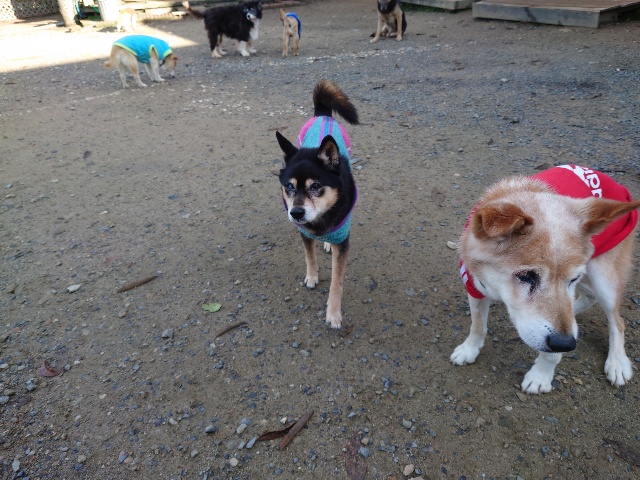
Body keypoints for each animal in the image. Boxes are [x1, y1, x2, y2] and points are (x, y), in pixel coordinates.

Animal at [276, 80, 359, 329]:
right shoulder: (304, 233)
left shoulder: (343, 242)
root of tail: (323, 115)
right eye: (289, 186)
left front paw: (333, 314)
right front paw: (312, 277)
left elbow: (336, 283)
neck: (321, 220)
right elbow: (309, 257)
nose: (296, 212)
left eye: (315, 186)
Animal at [451, 165, 640, 394]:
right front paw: (469, 349)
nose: (567, 344)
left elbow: (551, 353)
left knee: (617, 322)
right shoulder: (474, 286)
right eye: (526, 276)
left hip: (604, 278)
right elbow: (477, 325)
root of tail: (618, 186)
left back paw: (617, 362)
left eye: (573, 278)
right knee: (588, 299)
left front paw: (540, 375)